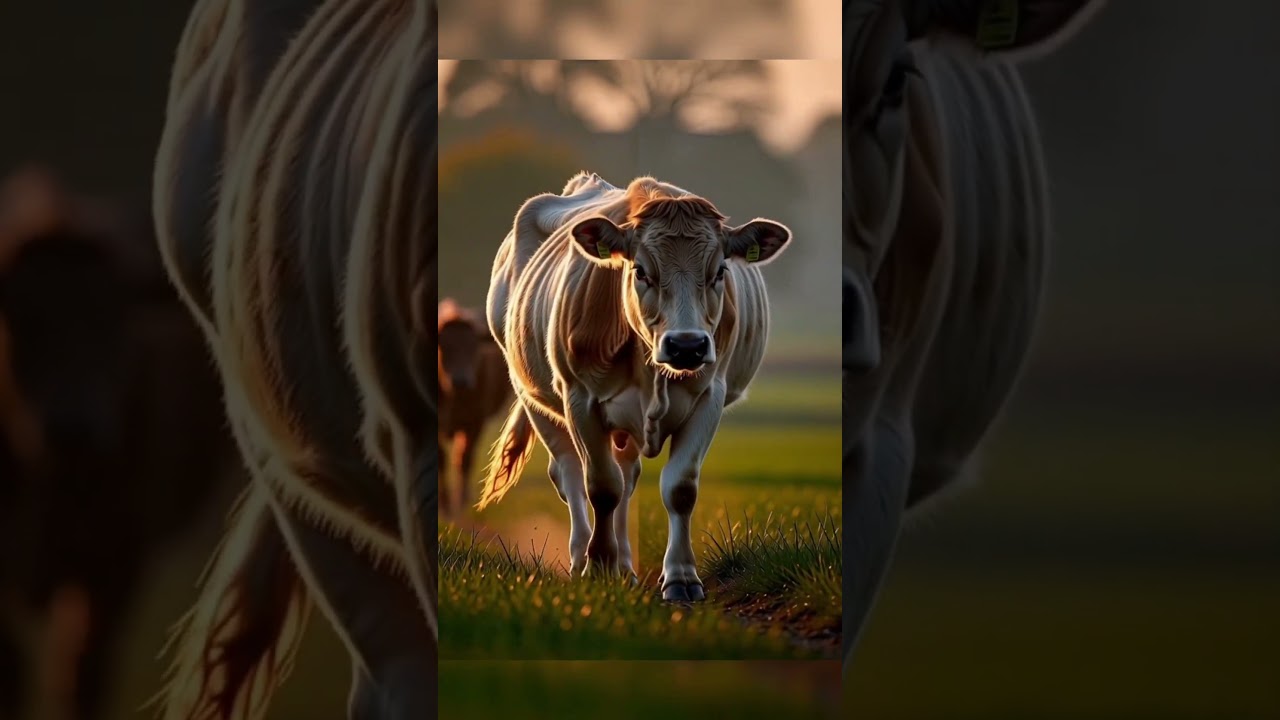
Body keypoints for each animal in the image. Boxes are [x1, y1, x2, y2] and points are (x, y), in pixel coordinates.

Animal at [0, 166, 233, 720]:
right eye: (20, 325)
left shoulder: (116, 558)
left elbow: (81, 673)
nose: (75, 428)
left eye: (114, 322)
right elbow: (10, 671)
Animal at [437, 298, 512, 518]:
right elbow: (441, 460)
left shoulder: (475, 422)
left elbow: (464, 459)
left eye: (473, 347)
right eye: (444, 348)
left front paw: (460, 502)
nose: (461, 381)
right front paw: (444, 505)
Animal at [479, 172, 792, 603]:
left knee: (627, 477)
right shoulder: (580, 399)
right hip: (535, 398)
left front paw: (680, 578)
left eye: (719, 273)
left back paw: (626, 567)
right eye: (641, 271)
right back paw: (582, 557)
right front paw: (597, 567)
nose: (687, 345)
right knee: (569, 474)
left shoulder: (709, 398)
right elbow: (601, 487)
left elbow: (679, 488)